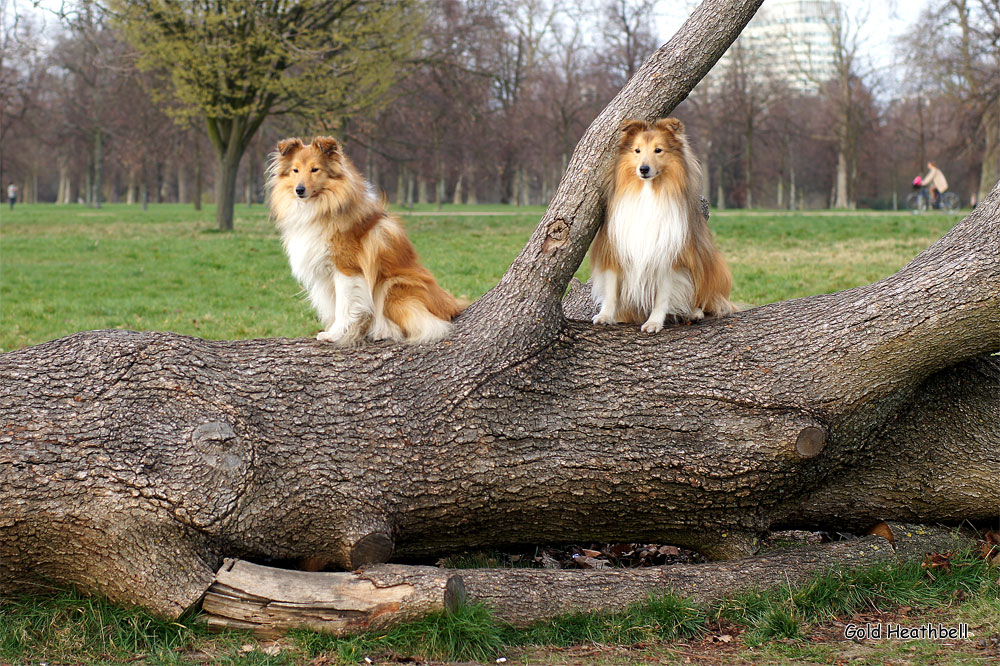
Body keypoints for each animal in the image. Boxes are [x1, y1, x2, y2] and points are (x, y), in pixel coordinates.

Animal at [266, 135, 460, 342]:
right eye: (295, 170)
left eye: (315, 169)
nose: (299, 190)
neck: (320, 207)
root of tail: (455, 306)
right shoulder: (326, 276)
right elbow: (334, 306)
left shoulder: (346, 269)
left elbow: (344, 307)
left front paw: (335, 334)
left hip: (392, 285)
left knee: (427, 324)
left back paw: (385, 330)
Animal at [584, 118, 736, 330]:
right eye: (637, 150)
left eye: (658, 150)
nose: (643, 169)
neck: (648, 193)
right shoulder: (616, 247)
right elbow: (611, 288)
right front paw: (605, 315)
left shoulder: (669, 254)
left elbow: (663, 296)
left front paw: (654, 321)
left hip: (712, 264)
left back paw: (694, 312)